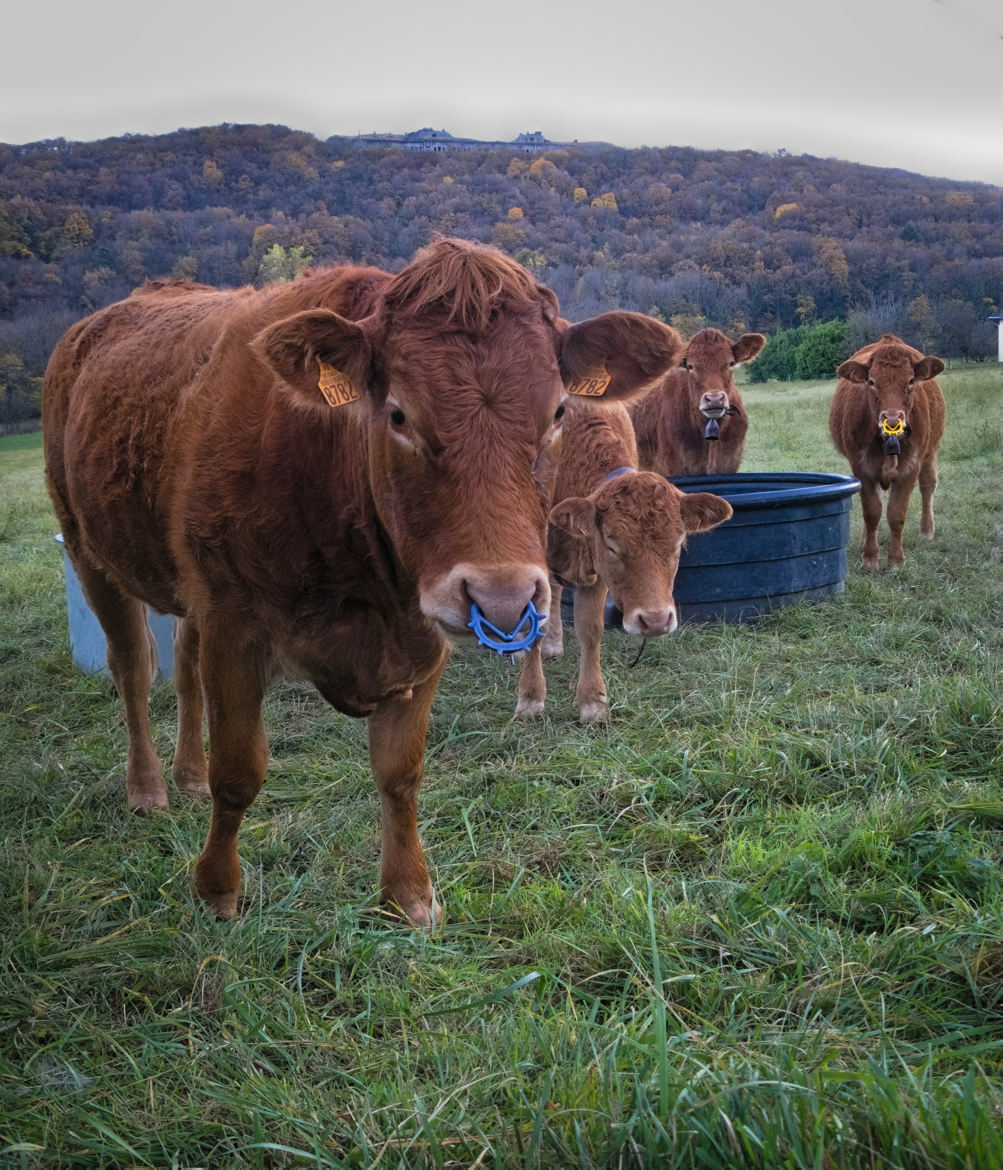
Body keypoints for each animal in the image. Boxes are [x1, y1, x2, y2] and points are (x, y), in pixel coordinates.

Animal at [39, 237, 678, 926]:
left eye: (558, 410)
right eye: (398, 414)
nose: (502, 598)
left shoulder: (418, 640)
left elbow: (400, 773)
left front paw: (410, 895)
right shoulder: (234, 625)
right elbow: (238, 771)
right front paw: (217, 890)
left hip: (187, 591)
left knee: (181, 667)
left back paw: (187, 775)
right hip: (88, 548)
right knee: (133, 666)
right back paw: (149, 788)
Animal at [512, 402, 730, 720]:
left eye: (679, 544)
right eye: (612, 546)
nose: (655, 621)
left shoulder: (596, 576)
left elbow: (591, 629)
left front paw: (593, 703)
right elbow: (533, 623)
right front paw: (530, 699)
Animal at [823, 334, 940, 570]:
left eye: (911, 380)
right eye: (872, 382)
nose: (893, 419)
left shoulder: (911, 467)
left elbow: (896, 513)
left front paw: (896, 561)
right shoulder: (862, 468)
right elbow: (872, 511)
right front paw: (870, 559)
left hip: (930, 452)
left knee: (927, 487)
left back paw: (926, 532)